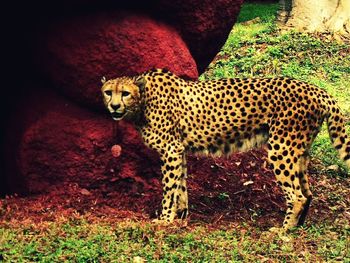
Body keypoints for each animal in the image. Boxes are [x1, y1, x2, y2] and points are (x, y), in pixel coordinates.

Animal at [101, 68, 350, 233]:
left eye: (124, 93)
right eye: (108, 92)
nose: (114, 106)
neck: (144, 100)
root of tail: (316, 89)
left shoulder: (171, 150)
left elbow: (169, 189)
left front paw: (164, 220)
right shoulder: (179, 151)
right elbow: (181, 187)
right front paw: (181, 218)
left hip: (281, 149)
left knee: (297, 195)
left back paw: (283, 231)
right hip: (299, 151)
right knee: (307, 193)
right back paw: (298, 227)